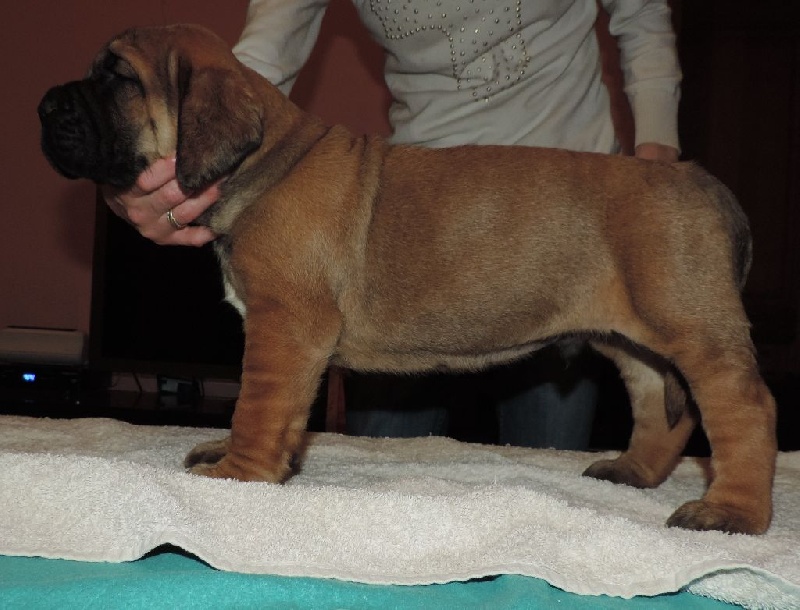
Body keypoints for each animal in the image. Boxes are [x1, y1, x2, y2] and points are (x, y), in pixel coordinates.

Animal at [38, 24, 777, 534]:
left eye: (118, 79)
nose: (45, 104)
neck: (264, 161)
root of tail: (698, 180)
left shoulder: (284, 325)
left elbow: (259, 404)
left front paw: (238, 473)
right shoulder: (292, 339)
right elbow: (284, 412)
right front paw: (262, 462)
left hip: (694, 327)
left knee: (745, 409)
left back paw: (731, 512)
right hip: (634, 334)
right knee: (661, 405)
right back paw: (632, 472)